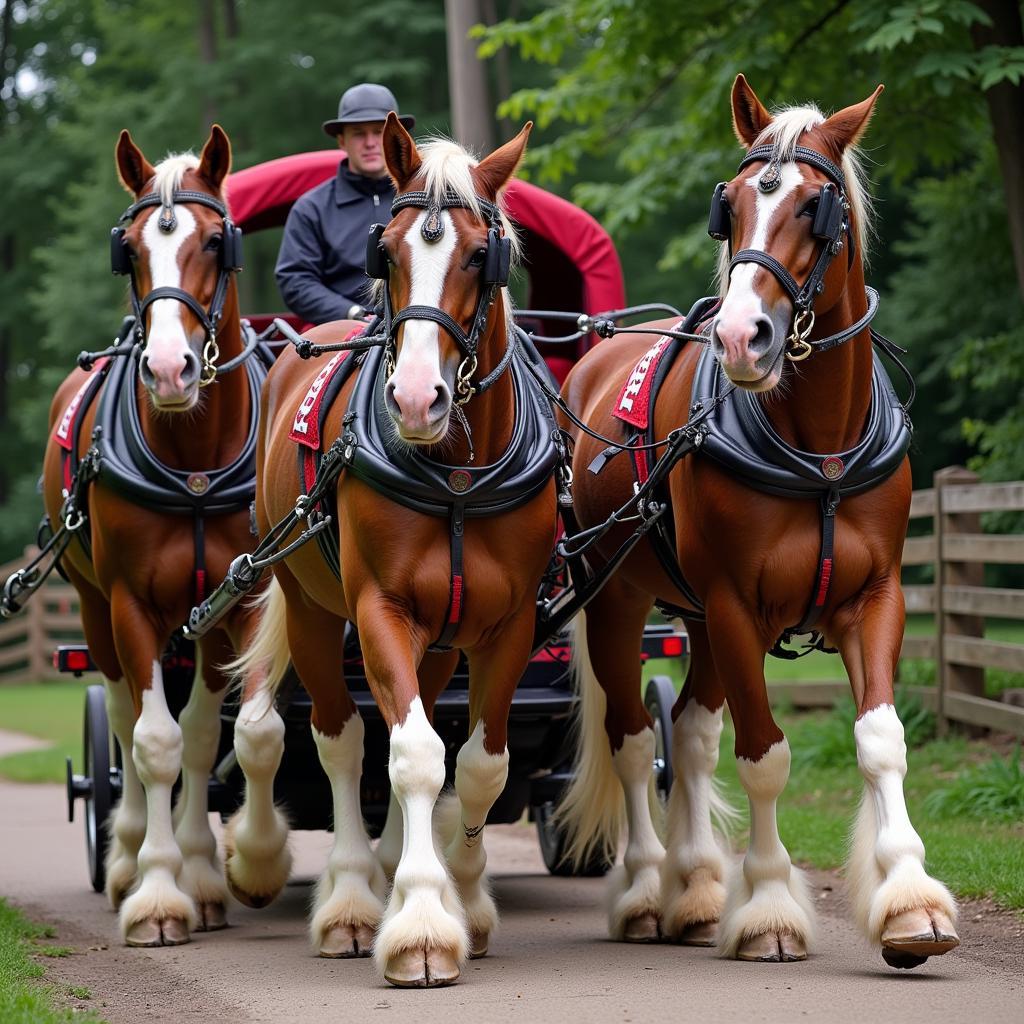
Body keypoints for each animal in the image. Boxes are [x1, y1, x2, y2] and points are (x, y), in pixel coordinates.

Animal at [39, 125, 264, 942]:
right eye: (130, 249)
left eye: (216, 242)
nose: (168, 371)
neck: (193, 457)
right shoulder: (132, 603)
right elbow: (154, 740)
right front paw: (160, 893)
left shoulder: (239, 599)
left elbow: (211, 734)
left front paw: (210, 871)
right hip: (94, 607)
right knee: (124, 713)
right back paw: (128, 855)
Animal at [228, 116, 557, 987]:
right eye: (389, 253)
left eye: (481, 255)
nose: (414, 398)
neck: (458, 473)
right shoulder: (379, 608)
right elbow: (409, 755)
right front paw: (418, 925)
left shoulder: (509, 625)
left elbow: (476, 763)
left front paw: (463, 898)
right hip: (312, 608)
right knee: (341, 741)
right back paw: (348, 895)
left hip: (438, 640)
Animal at [552, 75, 958, 970]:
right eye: (731, 205)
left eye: (817, 207)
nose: (743, 336)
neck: (821, 449)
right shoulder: (738, 607)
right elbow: (765, 755)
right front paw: (770, 907)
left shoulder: (873, 599)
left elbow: (880, 738)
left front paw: (910, 902)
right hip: (619, 601)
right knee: (633, 740)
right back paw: (646, 890)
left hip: (696, 615)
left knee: (690, 734)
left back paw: (697, 889)